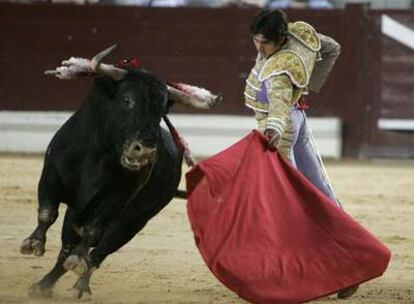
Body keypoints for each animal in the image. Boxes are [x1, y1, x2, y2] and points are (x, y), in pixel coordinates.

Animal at [19, 62, 184, 296]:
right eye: (127, 100)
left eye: (162, 111)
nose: (145, 150)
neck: (96, 155)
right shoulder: (50, 178)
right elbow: (47, 212)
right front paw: (33, 243)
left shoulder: (115, 201)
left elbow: (92, 233)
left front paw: (77, 262)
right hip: (75, 216)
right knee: (66, 251)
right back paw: (44, 286)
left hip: (131, 224)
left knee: (98, 253)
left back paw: (77, 285)